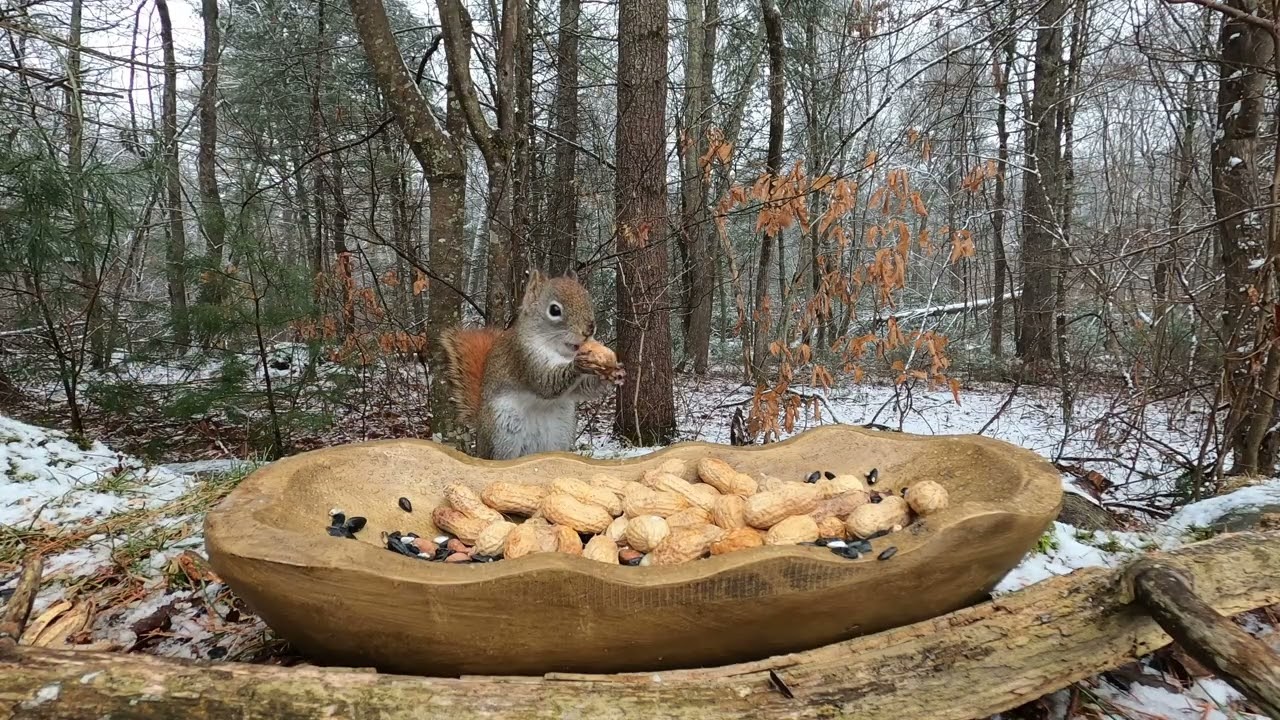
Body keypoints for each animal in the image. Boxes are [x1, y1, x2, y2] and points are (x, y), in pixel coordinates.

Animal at [438, 269, 625, 460]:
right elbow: (546, 383)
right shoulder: (524, 358)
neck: (559, 352)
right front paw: (579, 365)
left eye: (588, 299)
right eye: (554, 310)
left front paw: (614, 375)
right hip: (503, 434)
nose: (590, 328)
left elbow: (582, 389)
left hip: (559, 432)